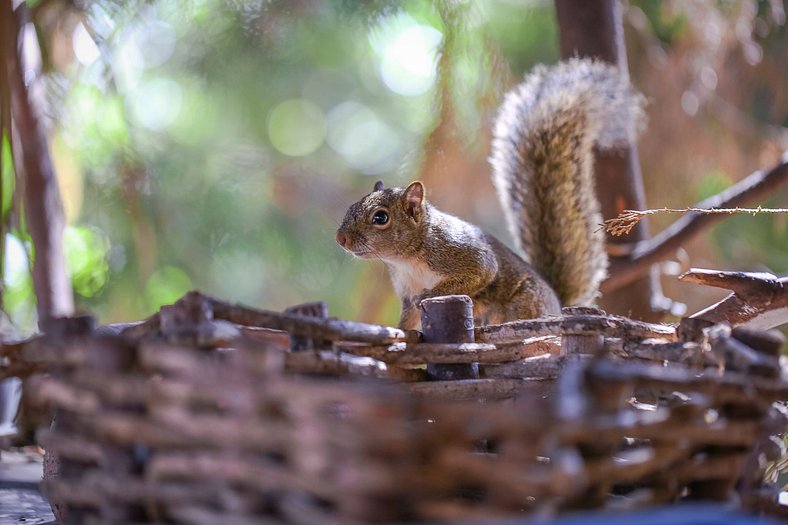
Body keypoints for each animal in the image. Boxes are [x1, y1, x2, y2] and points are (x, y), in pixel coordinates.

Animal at [336, 57, 644, 328]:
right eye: (351, 207)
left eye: (380, 218)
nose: (341, 239)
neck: (407, 258)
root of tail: (558, 305)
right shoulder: (406, 293)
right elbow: (408, 321)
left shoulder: (461, 254)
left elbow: (478, 273)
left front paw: (432, 293)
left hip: (523, 304)